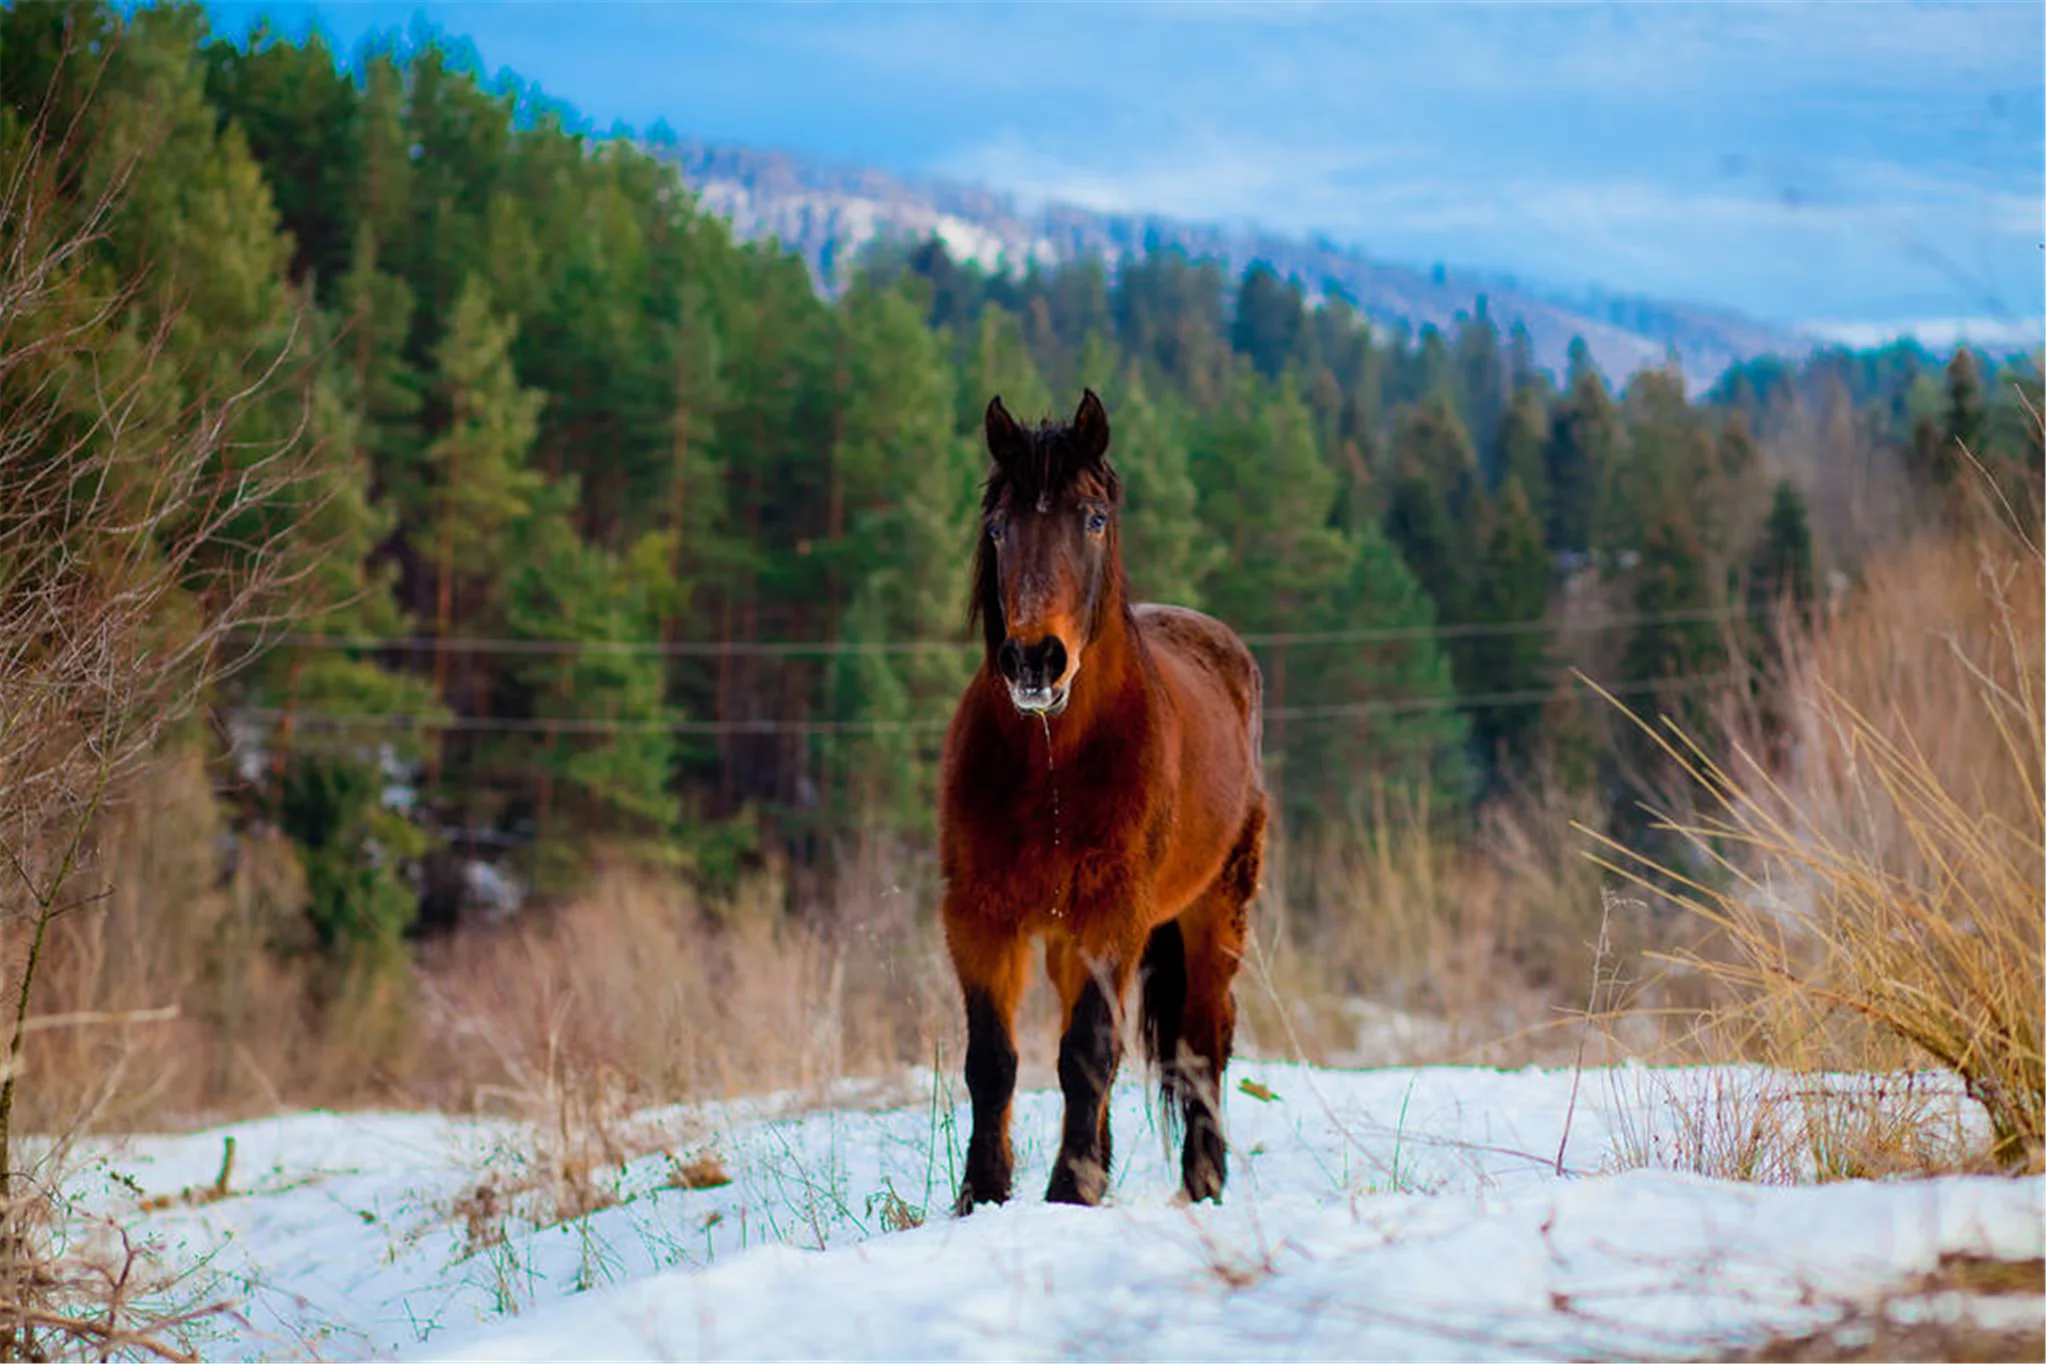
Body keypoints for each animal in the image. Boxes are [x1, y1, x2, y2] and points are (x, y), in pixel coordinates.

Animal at [937, 388, 1260, 1210]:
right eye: (998, 527)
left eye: (1092, 519)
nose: (1034, 660)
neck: (1053, 766)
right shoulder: (979, 916)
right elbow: (994, 1060)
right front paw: (983, 1195)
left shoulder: (1112, 915)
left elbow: (1087, 1052)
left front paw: (1070, 1190)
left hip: (1215, 912)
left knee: (1203, 1044)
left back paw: (1204, 1184)